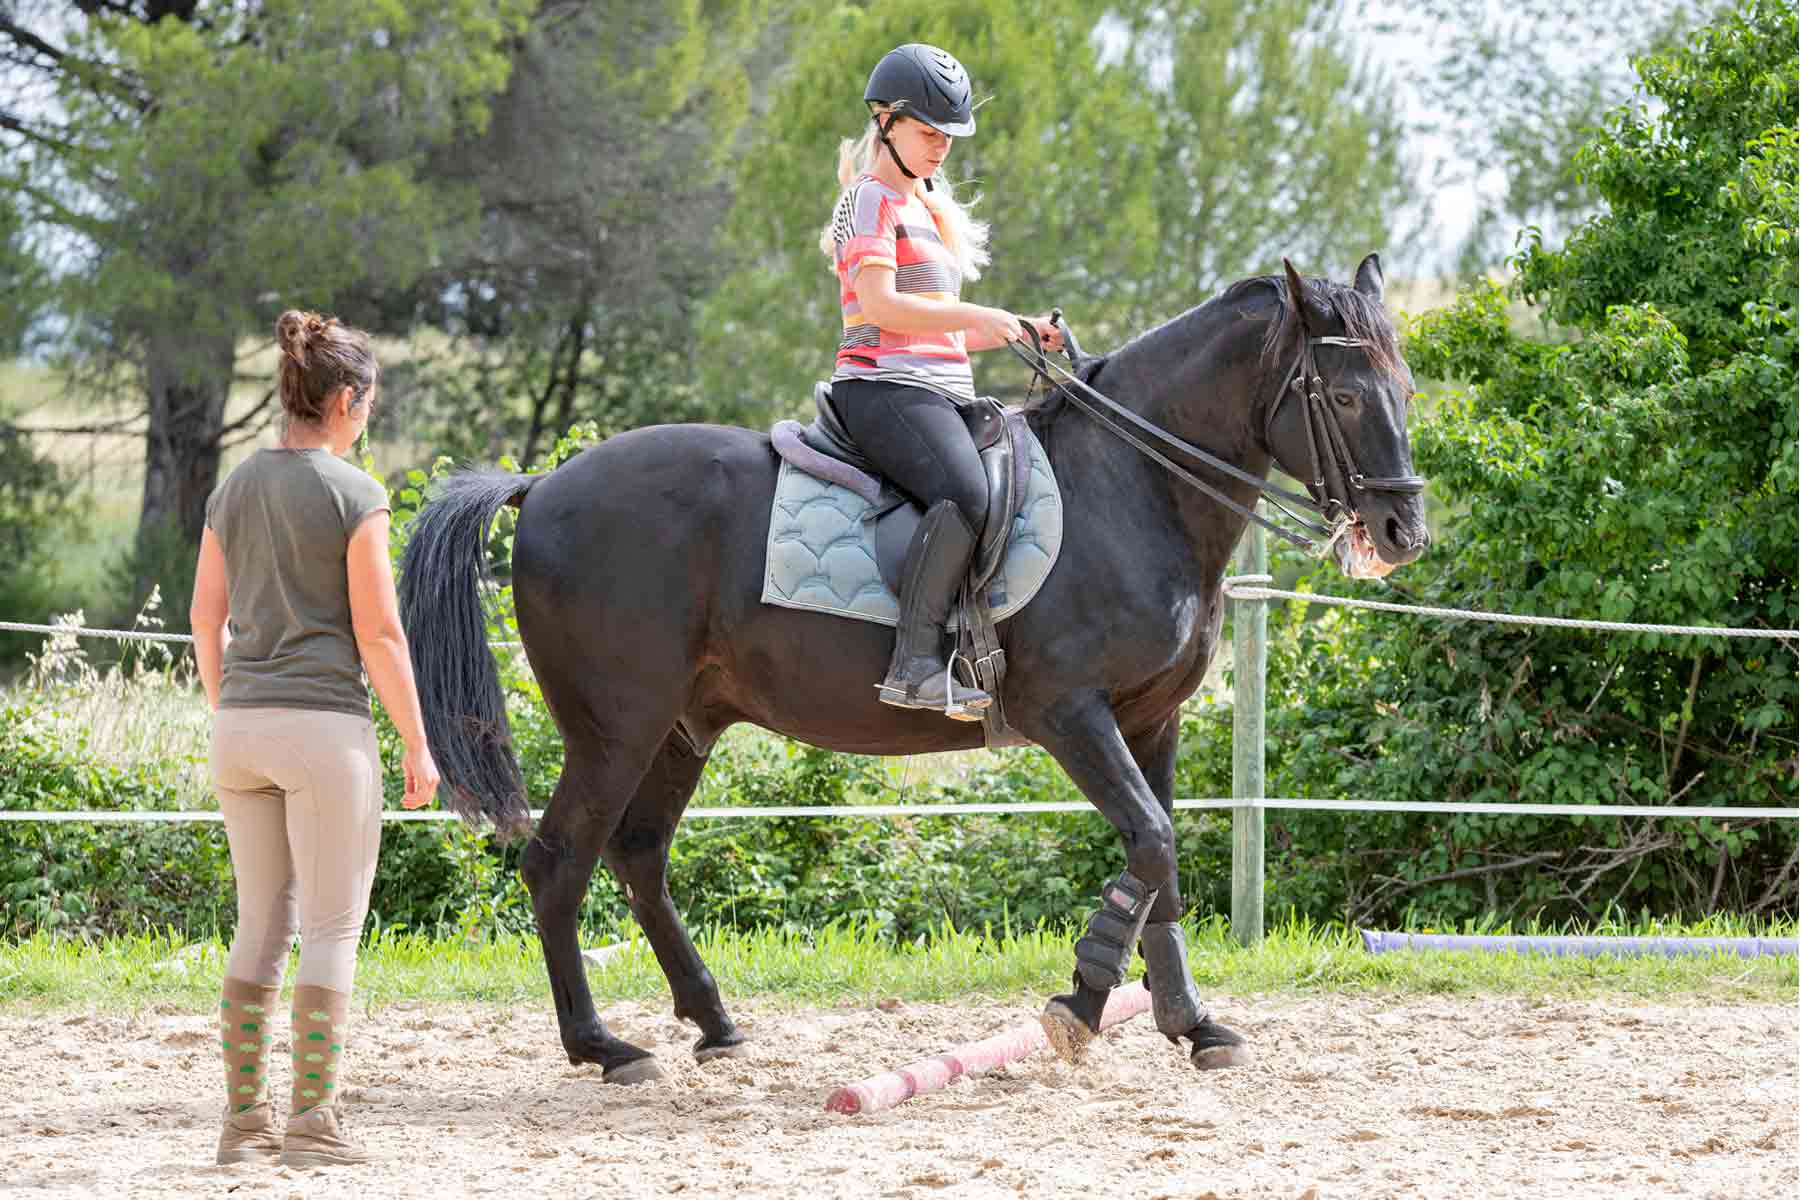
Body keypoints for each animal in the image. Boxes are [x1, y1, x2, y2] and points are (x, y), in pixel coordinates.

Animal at [401, 259, 1425, 1086]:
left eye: (1405, 388)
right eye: (1341, 398)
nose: (1401, 531)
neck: (1135, 488)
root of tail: (542, 485)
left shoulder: (1150, 720)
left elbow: (1160, 859)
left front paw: (1192, 1023)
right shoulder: (1071, 713)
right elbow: (1151, 841)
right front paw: (1081, 1004)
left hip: (681, 727)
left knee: (639, 857)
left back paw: (715, 1024)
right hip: (615, 728)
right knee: (557, 862)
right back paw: (603, 1047)